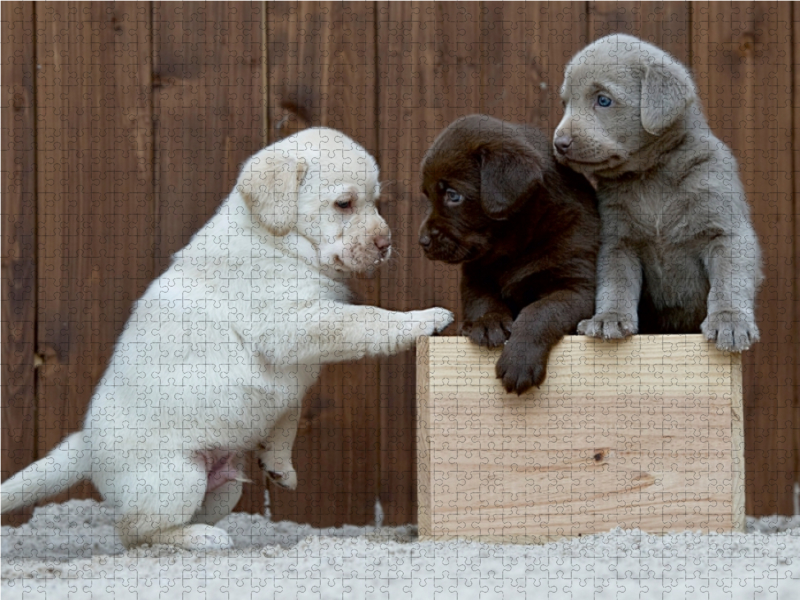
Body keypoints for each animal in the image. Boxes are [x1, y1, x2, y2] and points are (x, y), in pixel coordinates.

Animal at [0, 129, 454, 552]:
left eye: (376, 202)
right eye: (344, 204)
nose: (386, 244)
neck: (279, 241)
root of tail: (86, 443)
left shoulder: (292, 370)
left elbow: (289, 412)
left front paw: (279, 464)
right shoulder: (293, 326)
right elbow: (367, 320)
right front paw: (424, 318)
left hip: (222, 486)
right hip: (177, 478)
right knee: (134, 532)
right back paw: (200, 538)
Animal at [418, 115, 600, 396]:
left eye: (453, 196)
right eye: (427, 196)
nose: (423, 242)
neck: (515, 247)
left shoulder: (578, 287)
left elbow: (540, 310)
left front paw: (519, 360)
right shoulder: (474, 275)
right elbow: (481, 300)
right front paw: (487, 323)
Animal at [556, 34, 764, 352]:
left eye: (603, 100)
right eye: (566, 102)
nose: (559, 143)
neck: (652, 174)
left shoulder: (726, 229)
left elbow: (729, 281)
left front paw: (730, 322)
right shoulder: (618, 241)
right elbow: (615, 282)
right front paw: (608, 319)